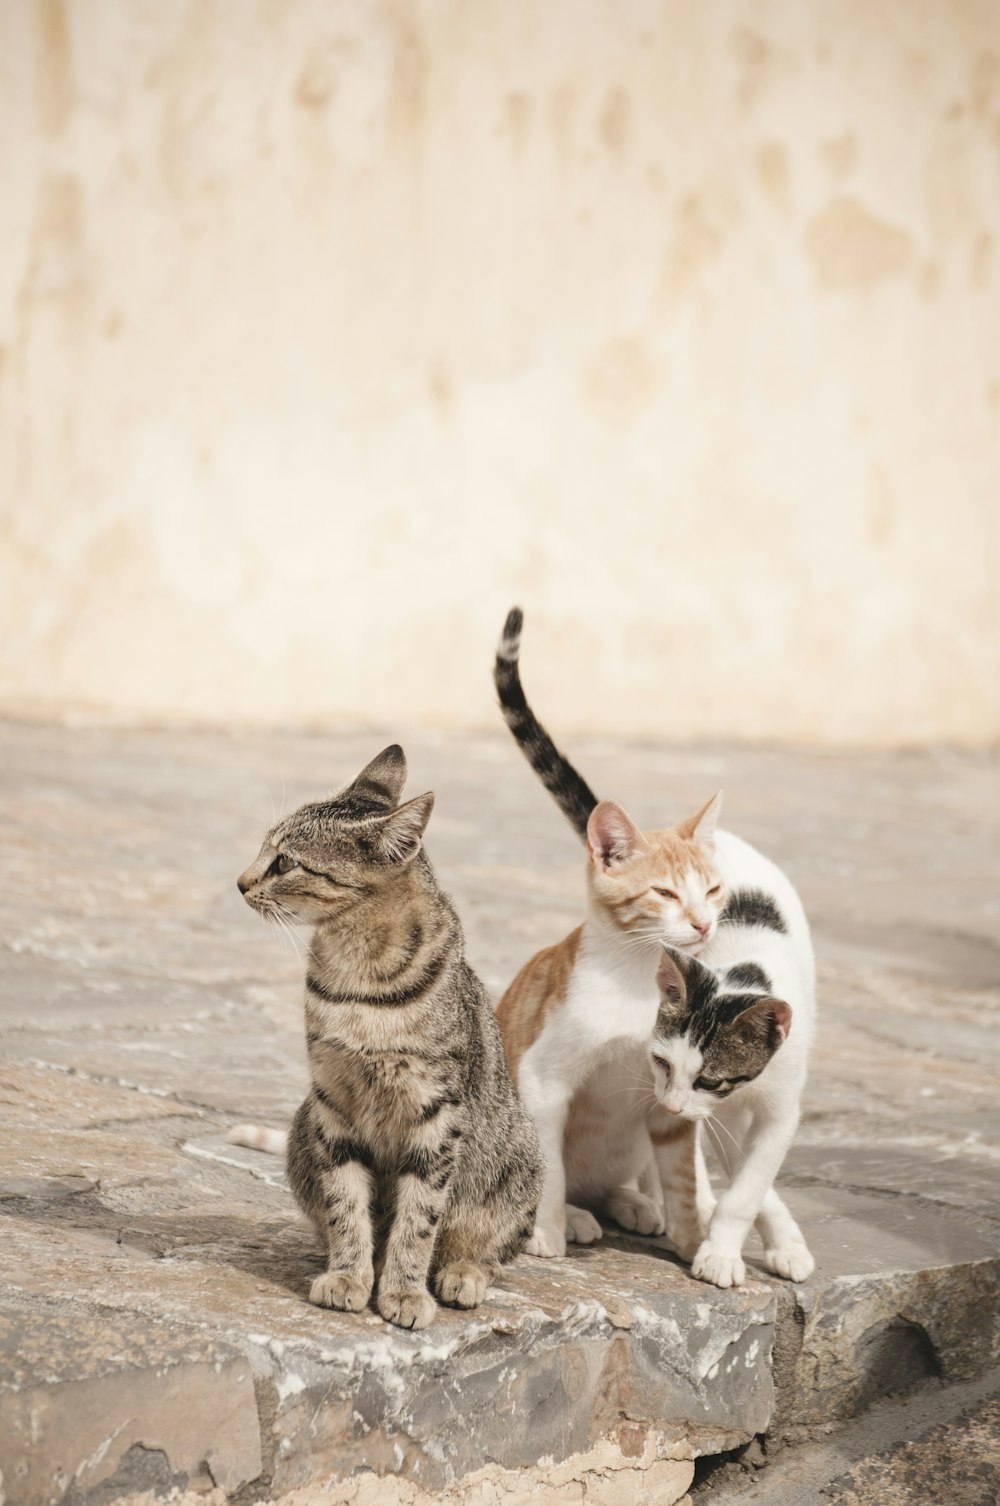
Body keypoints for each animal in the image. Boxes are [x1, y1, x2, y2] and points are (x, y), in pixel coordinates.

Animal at [234, 743, 542, 1331]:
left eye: (285, 862)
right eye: (265, 849)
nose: (239, 882)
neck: (356, 977)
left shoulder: (436, 1114)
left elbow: (419, 1219)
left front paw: (402, 1289)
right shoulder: (333, 1104)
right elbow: (346, 1206)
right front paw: (350, 1275)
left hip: (518, 1160)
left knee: (485, 1245)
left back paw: (461, 1274)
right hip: (302, 1126)